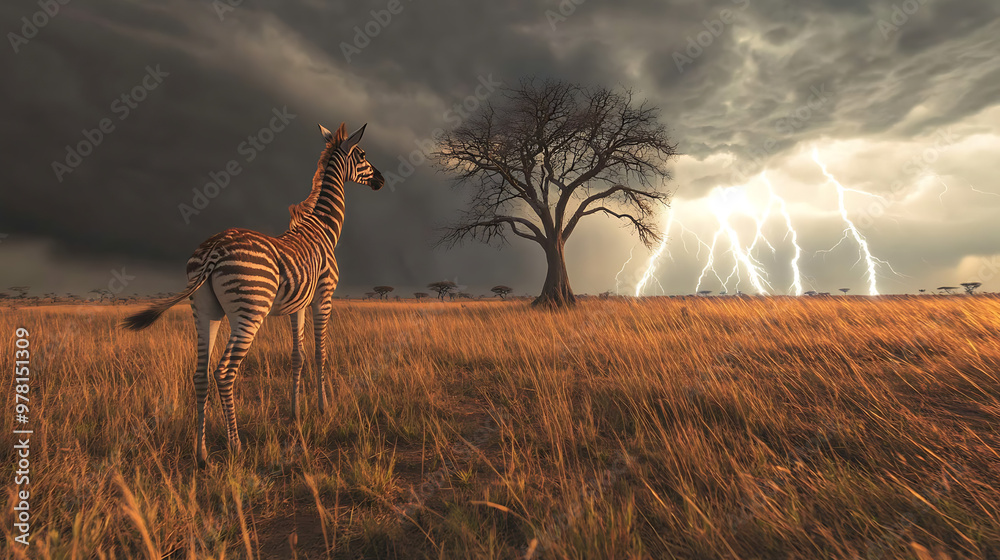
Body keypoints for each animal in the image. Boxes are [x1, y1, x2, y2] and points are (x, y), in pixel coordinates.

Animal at [122, 122, 386, 468]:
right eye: (364, 154)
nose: (382, 180)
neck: (323, 230)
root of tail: (213, 251)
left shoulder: (297, 305)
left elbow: (297, 356)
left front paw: (295, 412)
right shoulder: (323, 297)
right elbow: (320, 353)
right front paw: (323, 408)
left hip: (205, 312)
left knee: (200, 375)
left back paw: (201, 453)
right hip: (250, 312)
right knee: (224, 373)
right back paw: (236, 446)